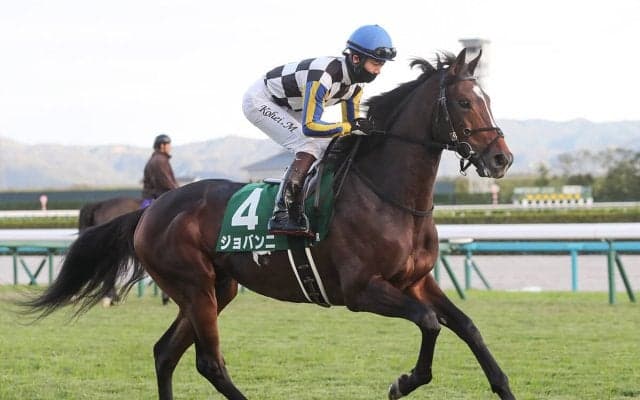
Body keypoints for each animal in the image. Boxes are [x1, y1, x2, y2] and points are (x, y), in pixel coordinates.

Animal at [22, 49, 515, 399]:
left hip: (216, 288)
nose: (501, 158)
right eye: (464, 102)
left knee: (165, 353)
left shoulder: (415, 281)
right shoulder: (361, 291)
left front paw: (501, 385)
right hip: (194, 287)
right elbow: (430, 323)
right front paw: (403, 381)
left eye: (489, 100)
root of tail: (151, 211)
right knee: (208, 362)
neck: (387, 194)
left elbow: (467, 327)